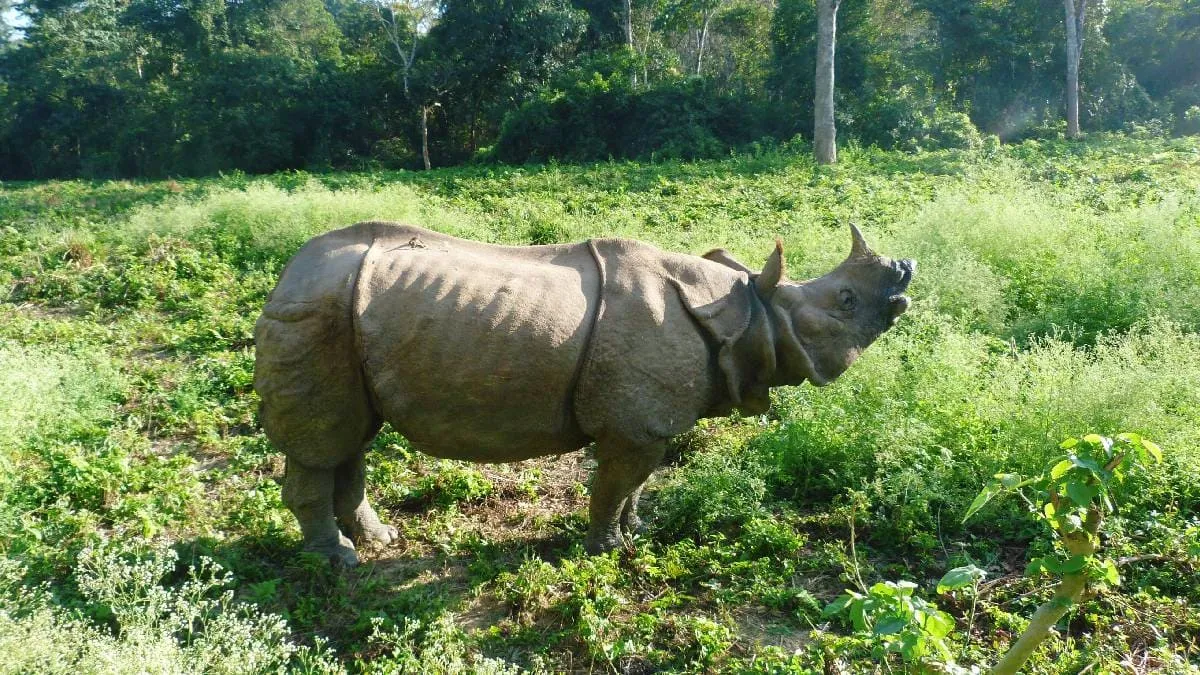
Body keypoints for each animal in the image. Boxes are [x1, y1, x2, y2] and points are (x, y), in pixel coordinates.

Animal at [254, 222, 914, 566]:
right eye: (846, 301)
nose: (905, 271)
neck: (746, 310)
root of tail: (287, 272)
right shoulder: (635, 425)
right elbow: (614, 484)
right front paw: (605, 552)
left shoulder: (646, 422)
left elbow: (636, 484)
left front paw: (636, 533)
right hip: (317, 311)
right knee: (324, 444)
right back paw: (339, 562)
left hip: (341, 316)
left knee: (350, 440)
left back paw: (378, 541)